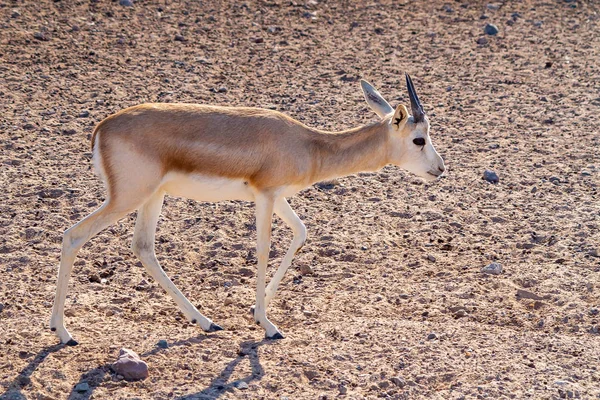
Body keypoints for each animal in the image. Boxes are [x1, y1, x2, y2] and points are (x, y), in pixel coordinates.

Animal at [50, 72, 446, 344]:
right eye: (419, 139)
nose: (440, 169)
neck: (309, 145)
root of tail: (102, 128)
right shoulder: (265, 195)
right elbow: (263, 248)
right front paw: (268, 325)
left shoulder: (278, 197)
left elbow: (301, 232)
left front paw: (259, 310)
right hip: (128, 197)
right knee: (72, 236)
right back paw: (63, 332)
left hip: (152, 197)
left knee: (143, 247)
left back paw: (205, 321)